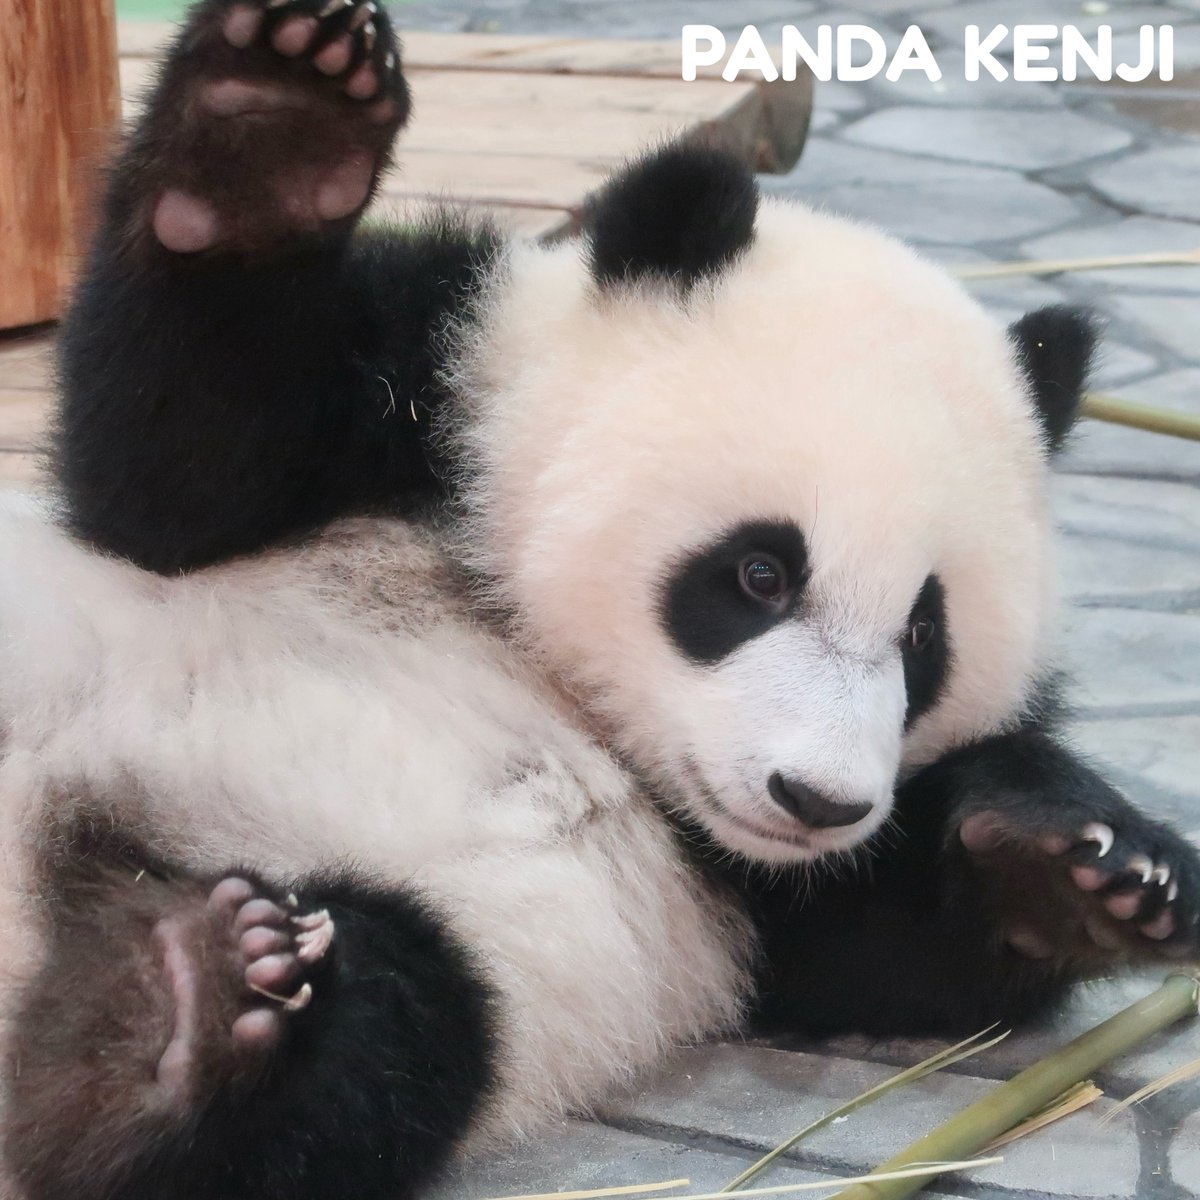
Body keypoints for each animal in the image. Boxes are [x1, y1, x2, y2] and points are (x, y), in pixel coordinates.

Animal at [0, 2, 1197, 1199]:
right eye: (760, 574)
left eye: (922, 635)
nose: (816, 800)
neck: (561, 677)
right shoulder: (431, 376)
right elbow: (169, 473)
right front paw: (273, 124)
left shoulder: (758, 891)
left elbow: (876, 948)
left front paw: (1080, 872)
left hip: (392, 930)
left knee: (392, 1020)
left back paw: (171, 1018)